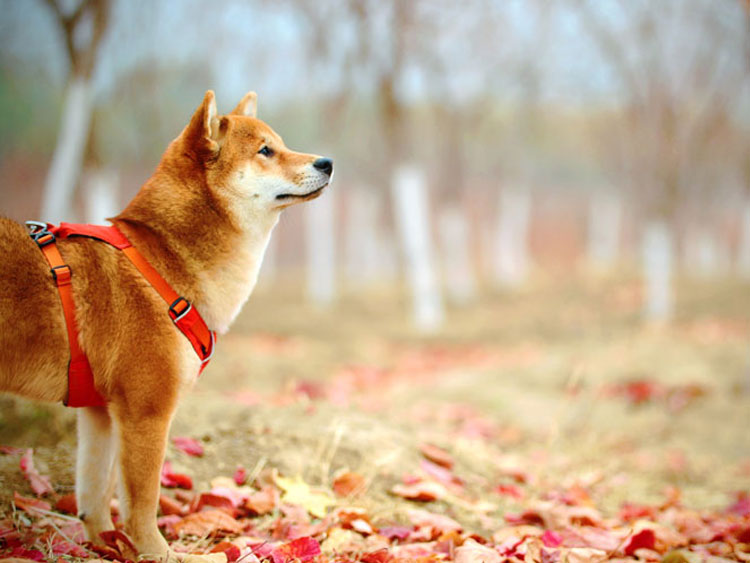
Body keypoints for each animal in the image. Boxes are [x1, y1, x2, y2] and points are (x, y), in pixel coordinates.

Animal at [0, 91, 332, 560]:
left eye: (281, 144)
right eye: (266, 150)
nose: (328, 162)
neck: (162, 260)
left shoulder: (99, 412)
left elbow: (94, 497)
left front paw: (107, 547)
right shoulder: (146, 412)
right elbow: (141, 504)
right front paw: (158, 553)